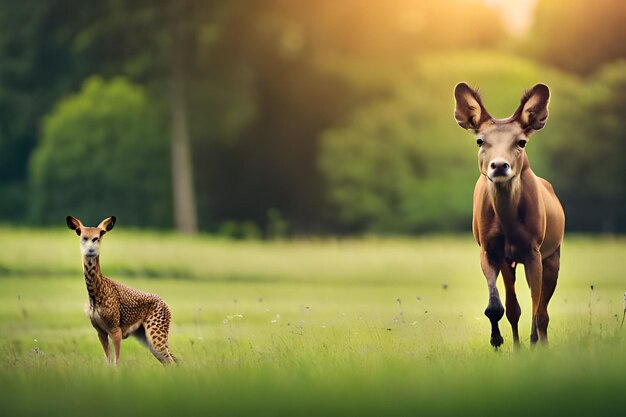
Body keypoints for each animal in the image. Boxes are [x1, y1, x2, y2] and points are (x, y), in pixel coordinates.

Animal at [65, 216, 176, 362]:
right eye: (80, 232)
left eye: (101, 233)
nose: (91, 249)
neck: (95, 292)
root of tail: (164, 302)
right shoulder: (100, 332)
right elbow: (107, 361)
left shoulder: (115, 331)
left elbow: (116, 362)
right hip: (145, 337)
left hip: (156, 335)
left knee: (171, 361)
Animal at [450, 83, 564, 346]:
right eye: (480, 140)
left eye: (521, 142)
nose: (500, 166)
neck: (508, 225)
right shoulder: (490, 250)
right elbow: (502, 307)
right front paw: (498, 340)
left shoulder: (534, 250)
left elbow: (536, 309)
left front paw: (533, 343)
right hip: (511, 261)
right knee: (518, 307)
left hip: (553, 254)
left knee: (543, 311)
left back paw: (541, 343)